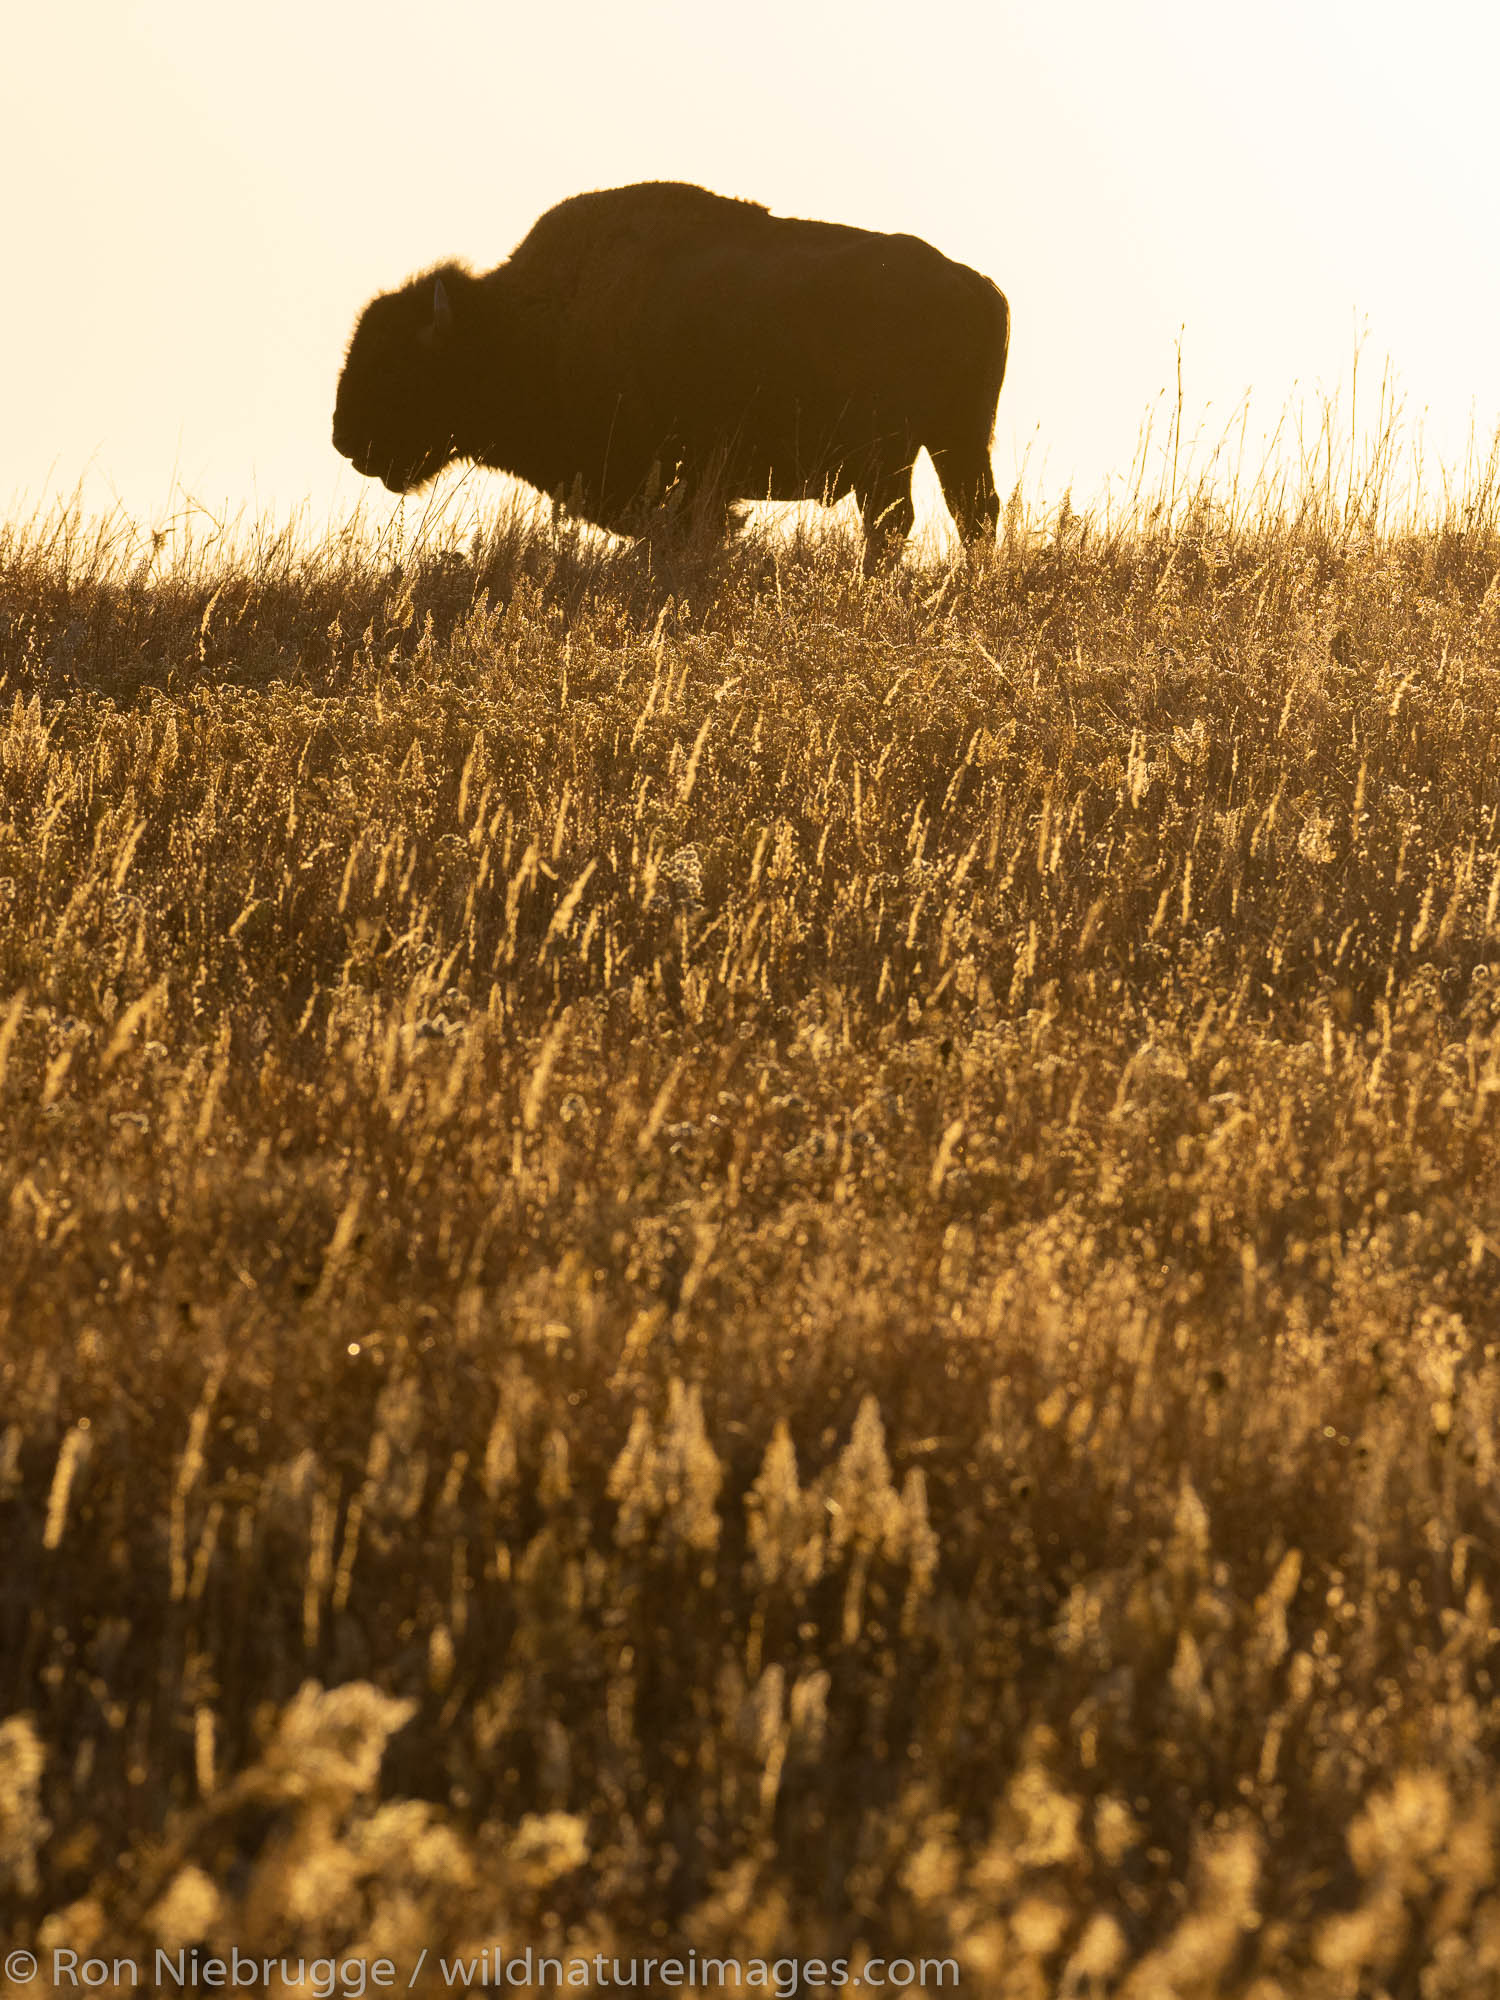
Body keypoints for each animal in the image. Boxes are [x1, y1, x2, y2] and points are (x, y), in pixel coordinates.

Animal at [328, 181, 1012, 564]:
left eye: (397, 367)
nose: (344, 437)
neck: (531, 322)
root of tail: (973, 284)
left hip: (889, 453)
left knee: (895, 521)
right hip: (955, 441)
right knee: (973, 511)